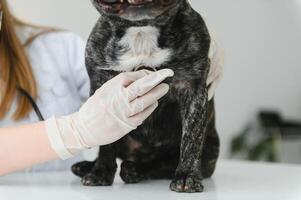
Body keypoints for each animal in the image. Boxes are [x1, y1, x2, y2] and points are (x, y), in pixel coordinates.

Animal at [71, 0, 219, 193]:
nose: (187, 175)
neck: (141, 32)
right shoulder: (103, 90)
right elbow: (106, 142)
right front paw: (100, 173)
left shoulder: (193, 90)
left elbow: (191, 140)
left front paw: (187, 176)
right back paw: (87, 166)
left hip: (209, 150)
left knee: (162, 165)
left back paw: (134, 170)